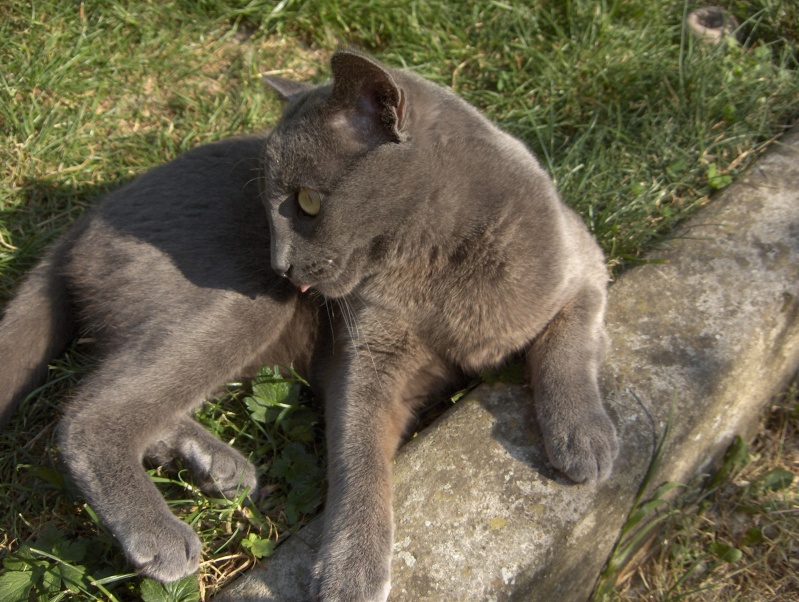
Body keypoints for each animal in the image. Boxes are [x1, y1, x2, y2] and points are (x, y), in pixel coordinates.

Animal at [0, 49, 620, 596]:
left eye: (307, 202)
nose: (280, 262)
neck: (436, 268)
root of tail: (81, 224)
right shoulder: (366, 355)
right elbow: (359, 457)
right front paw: (352, 572)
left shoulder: (585, 259)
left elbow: (571, 341)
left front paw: (585, 439)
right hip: (246, 302)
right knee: (89, 412)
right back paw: (162, 528)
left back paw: (217, 465)